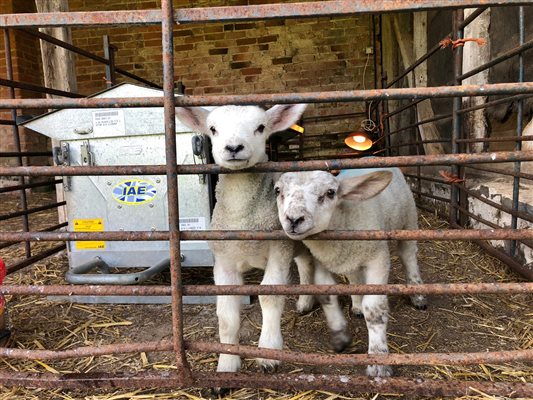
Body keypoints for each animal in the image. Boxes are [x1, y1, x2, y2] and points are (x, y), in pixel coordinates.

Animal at [177, 102, 314, 372]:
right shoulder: (224, 259)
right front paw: (227, 363)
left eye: (260, 127)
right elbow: (226, 316)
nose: (233, 148)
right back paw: (305, 302)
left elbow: (269, 296)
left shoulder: (278, 250)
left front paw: (268, 352)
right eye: (213, 129)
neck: (243, 220)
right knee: (305, 263)